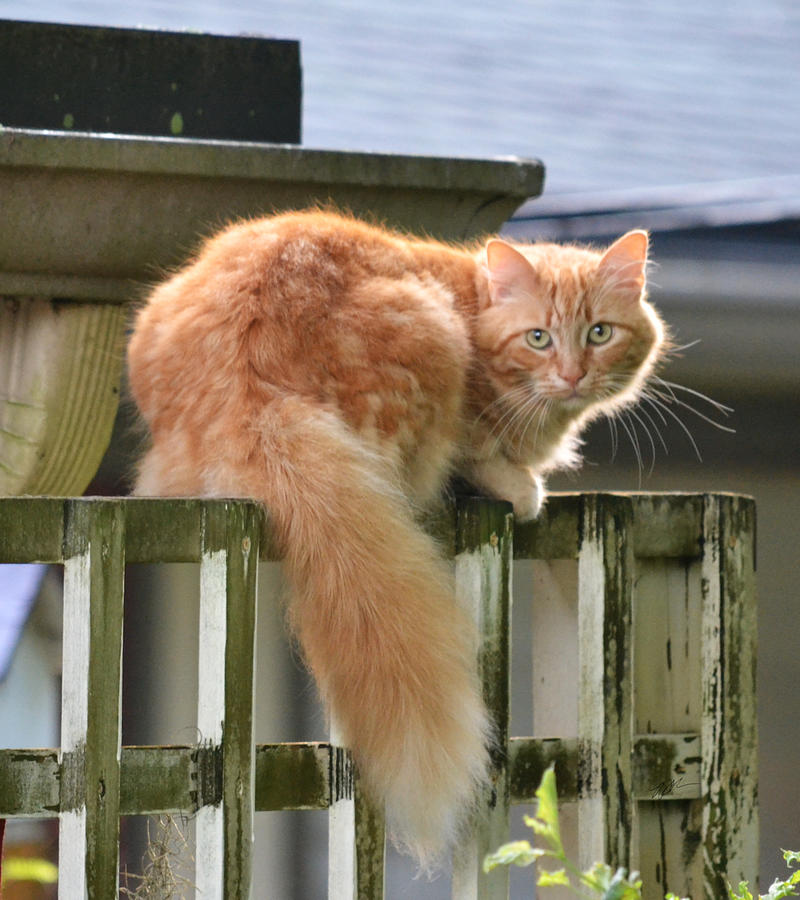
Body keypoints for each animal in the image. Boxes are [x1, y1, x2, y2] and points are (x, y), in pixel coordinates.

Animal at [128, 207, 664, 868]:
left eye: (599, 334)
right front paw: (520, 482)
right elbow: (485, 454)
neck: (474, 305)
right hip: (426, 337)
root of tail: (248, 382)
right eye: (538, 338)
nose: (572, 375)